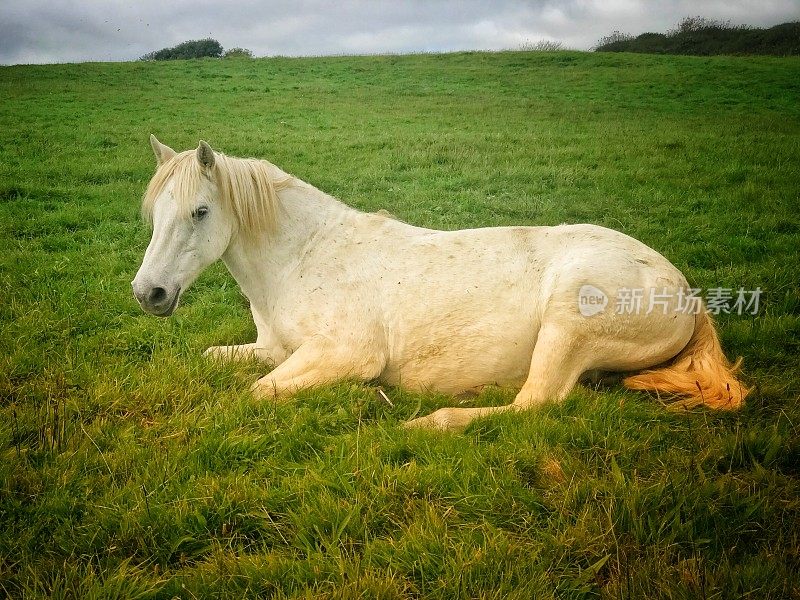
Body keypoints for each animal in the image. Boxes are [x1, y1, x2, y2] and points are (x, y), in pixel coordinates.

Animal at [133, 137, 752, 426]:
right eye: (154, 212)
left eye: (200, 212)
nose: (149, 294)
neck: (304, 258)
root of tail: (686, 292)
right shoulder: (275, 349)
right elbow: (214, 359)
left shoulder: (343, 354)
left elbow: (259, 391)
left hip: (569, 321)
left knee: (535, 403)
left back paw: (435, 422)